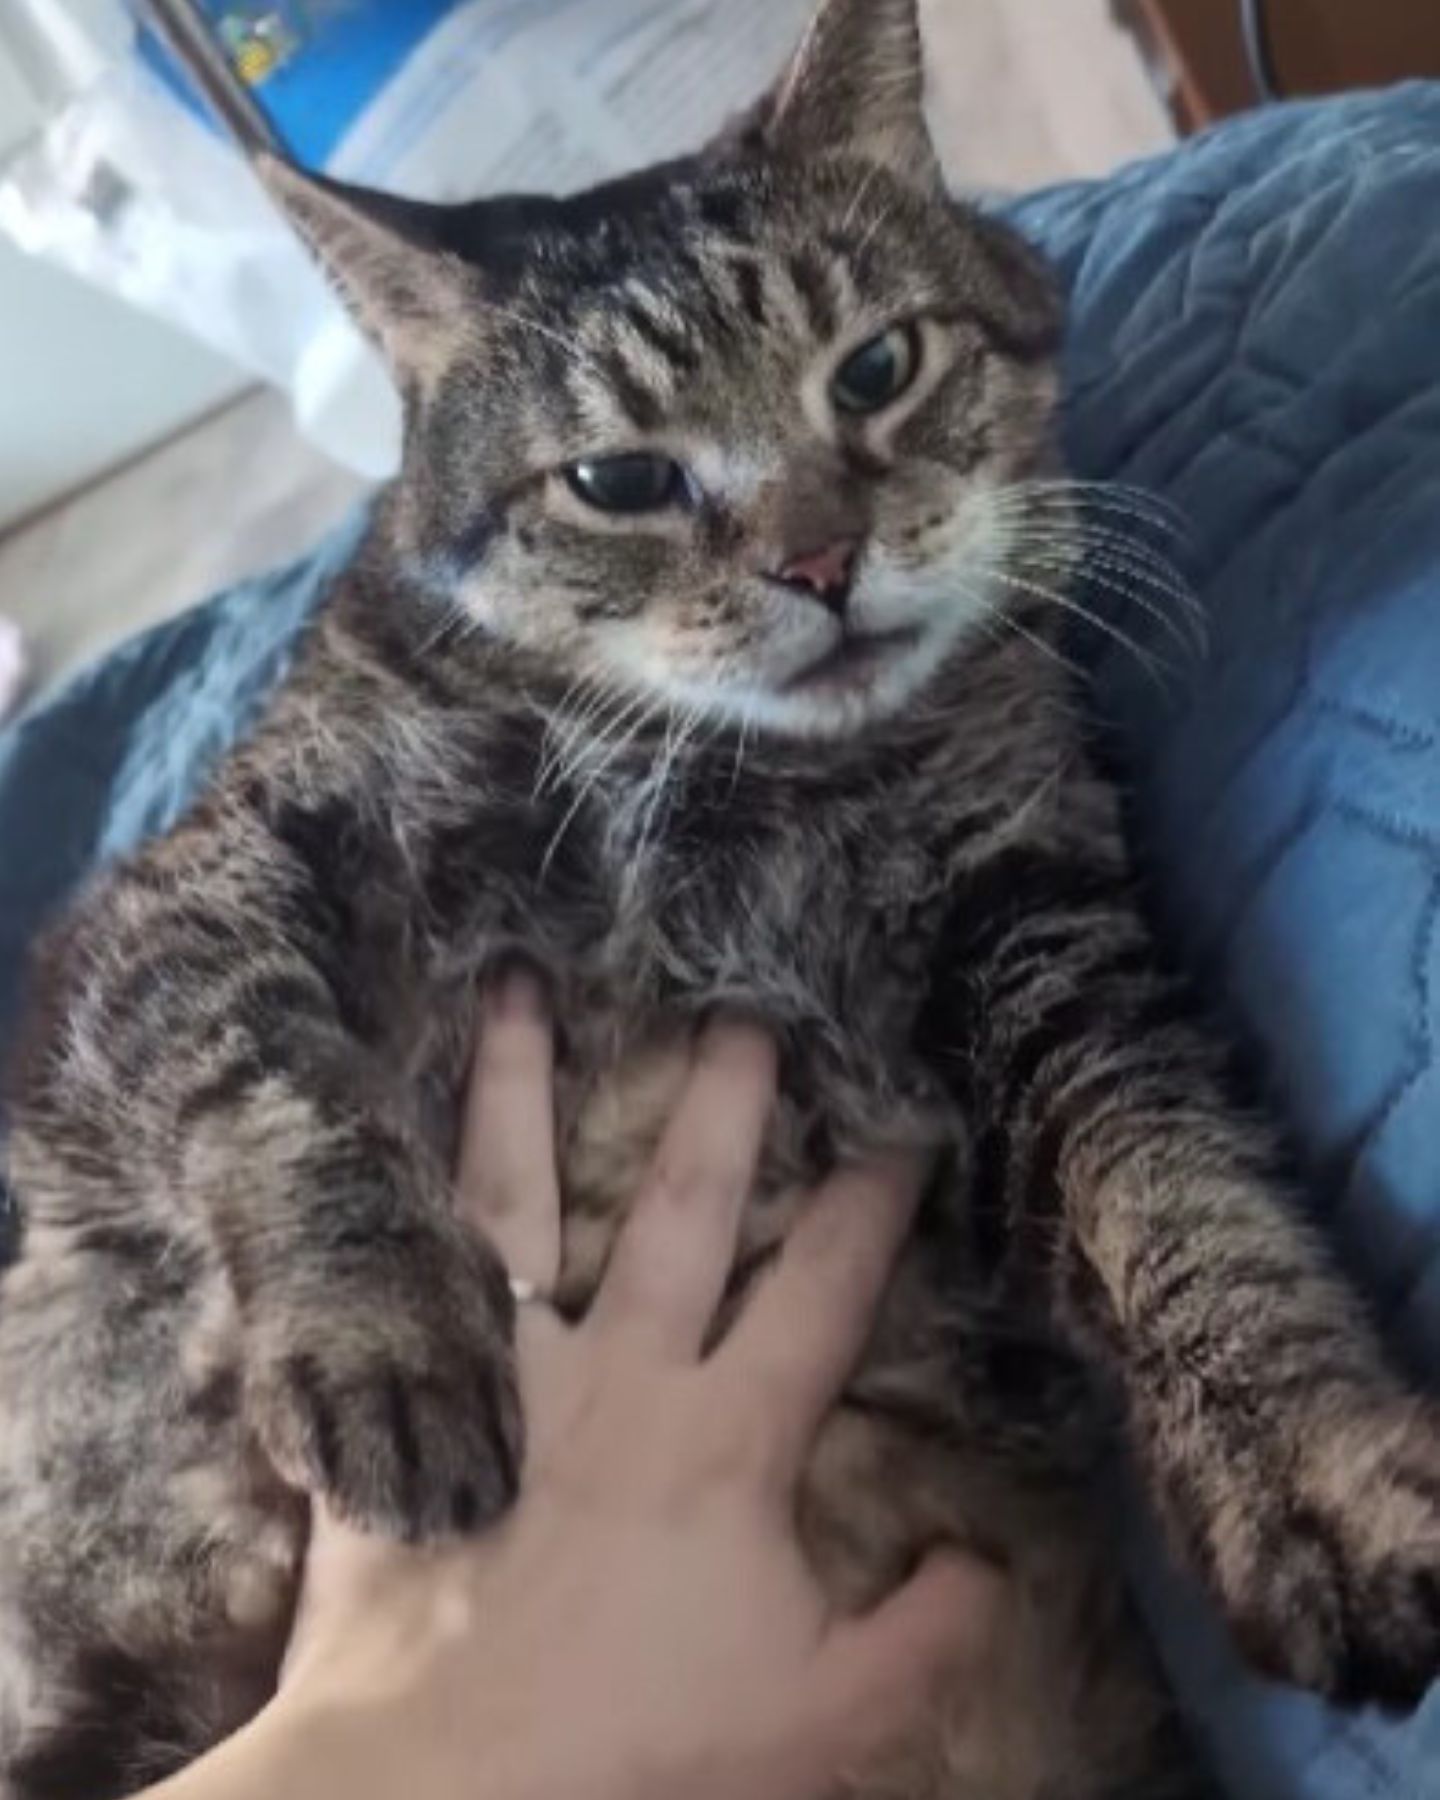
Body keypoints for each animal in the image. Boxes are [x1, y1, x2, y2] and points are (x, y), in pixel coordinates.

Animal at [2, 3, 1440, 1800]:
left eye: (877, 370)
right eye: (620, 479)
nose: (821, 566)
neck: (735, 786)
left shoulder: (1040, 927)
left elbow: (1180, 1202)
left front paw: (1320, 1479)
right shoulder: (184, 895)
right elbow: (281, 1079)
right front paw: (390, 1339)